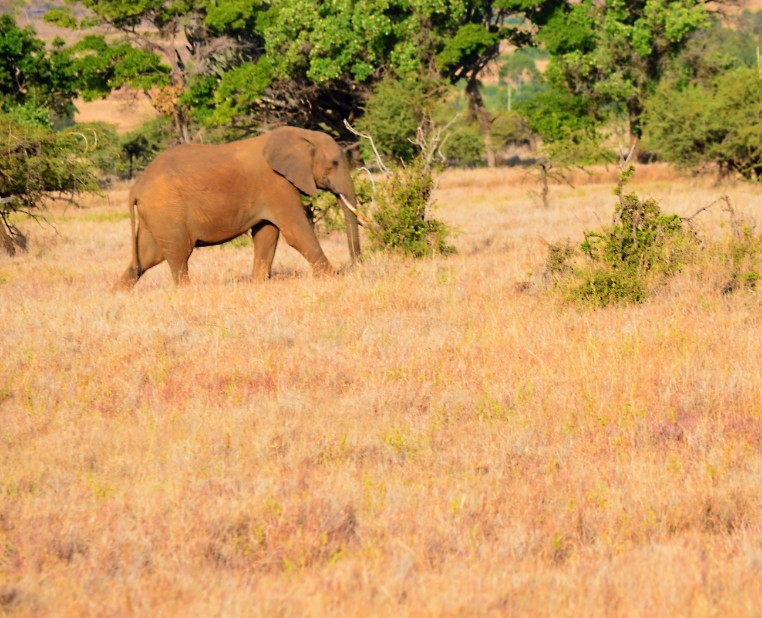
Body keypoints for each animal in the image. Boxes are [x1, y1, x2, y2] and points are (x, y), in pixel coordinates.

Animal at [115, 126, 361, 288]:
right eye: (335, 163)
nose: (356, 265)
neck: (301, 136)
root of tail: (136, 187)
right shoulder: (276, 183)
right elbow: (296, 232)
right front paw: (334, 278)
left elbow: (266, 234)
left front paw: (258, 284)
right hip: (166, 210)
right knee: (178, 255)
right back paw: (186, 292)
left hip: (156, 214)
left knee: (147, 256)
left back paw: (117, 293)